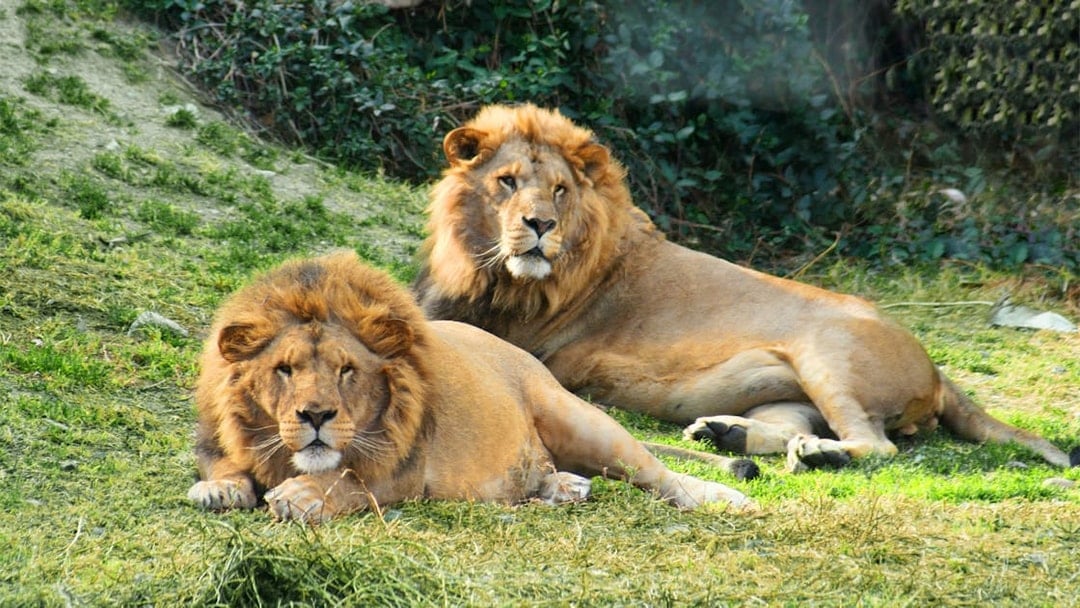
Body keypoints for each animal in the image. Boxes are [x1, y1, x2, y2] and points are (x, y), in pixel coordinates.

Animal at [186, 251, 749, 523]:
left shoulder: (407, 470)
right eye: (284, 369)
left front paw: (301, 495)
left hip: (578, 419)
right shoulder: (216, 438)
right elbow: (223, 464)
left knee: (657, 473)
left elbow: (350, 480)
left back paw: (725, 498)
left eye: (347, 370)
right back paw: (562, 487)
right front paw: (220, 488)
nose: (317, 416)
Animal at [413, 103, 1079, 472]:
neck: (487, 268)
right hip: (789, 389)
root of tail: (939, 371)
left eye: (559, 191)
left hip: (828, 354)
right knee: (794, 426)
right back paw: (725, 432)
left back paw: (818, 455)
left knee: (875, 445)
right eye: (506, 181)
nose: (540, 225)